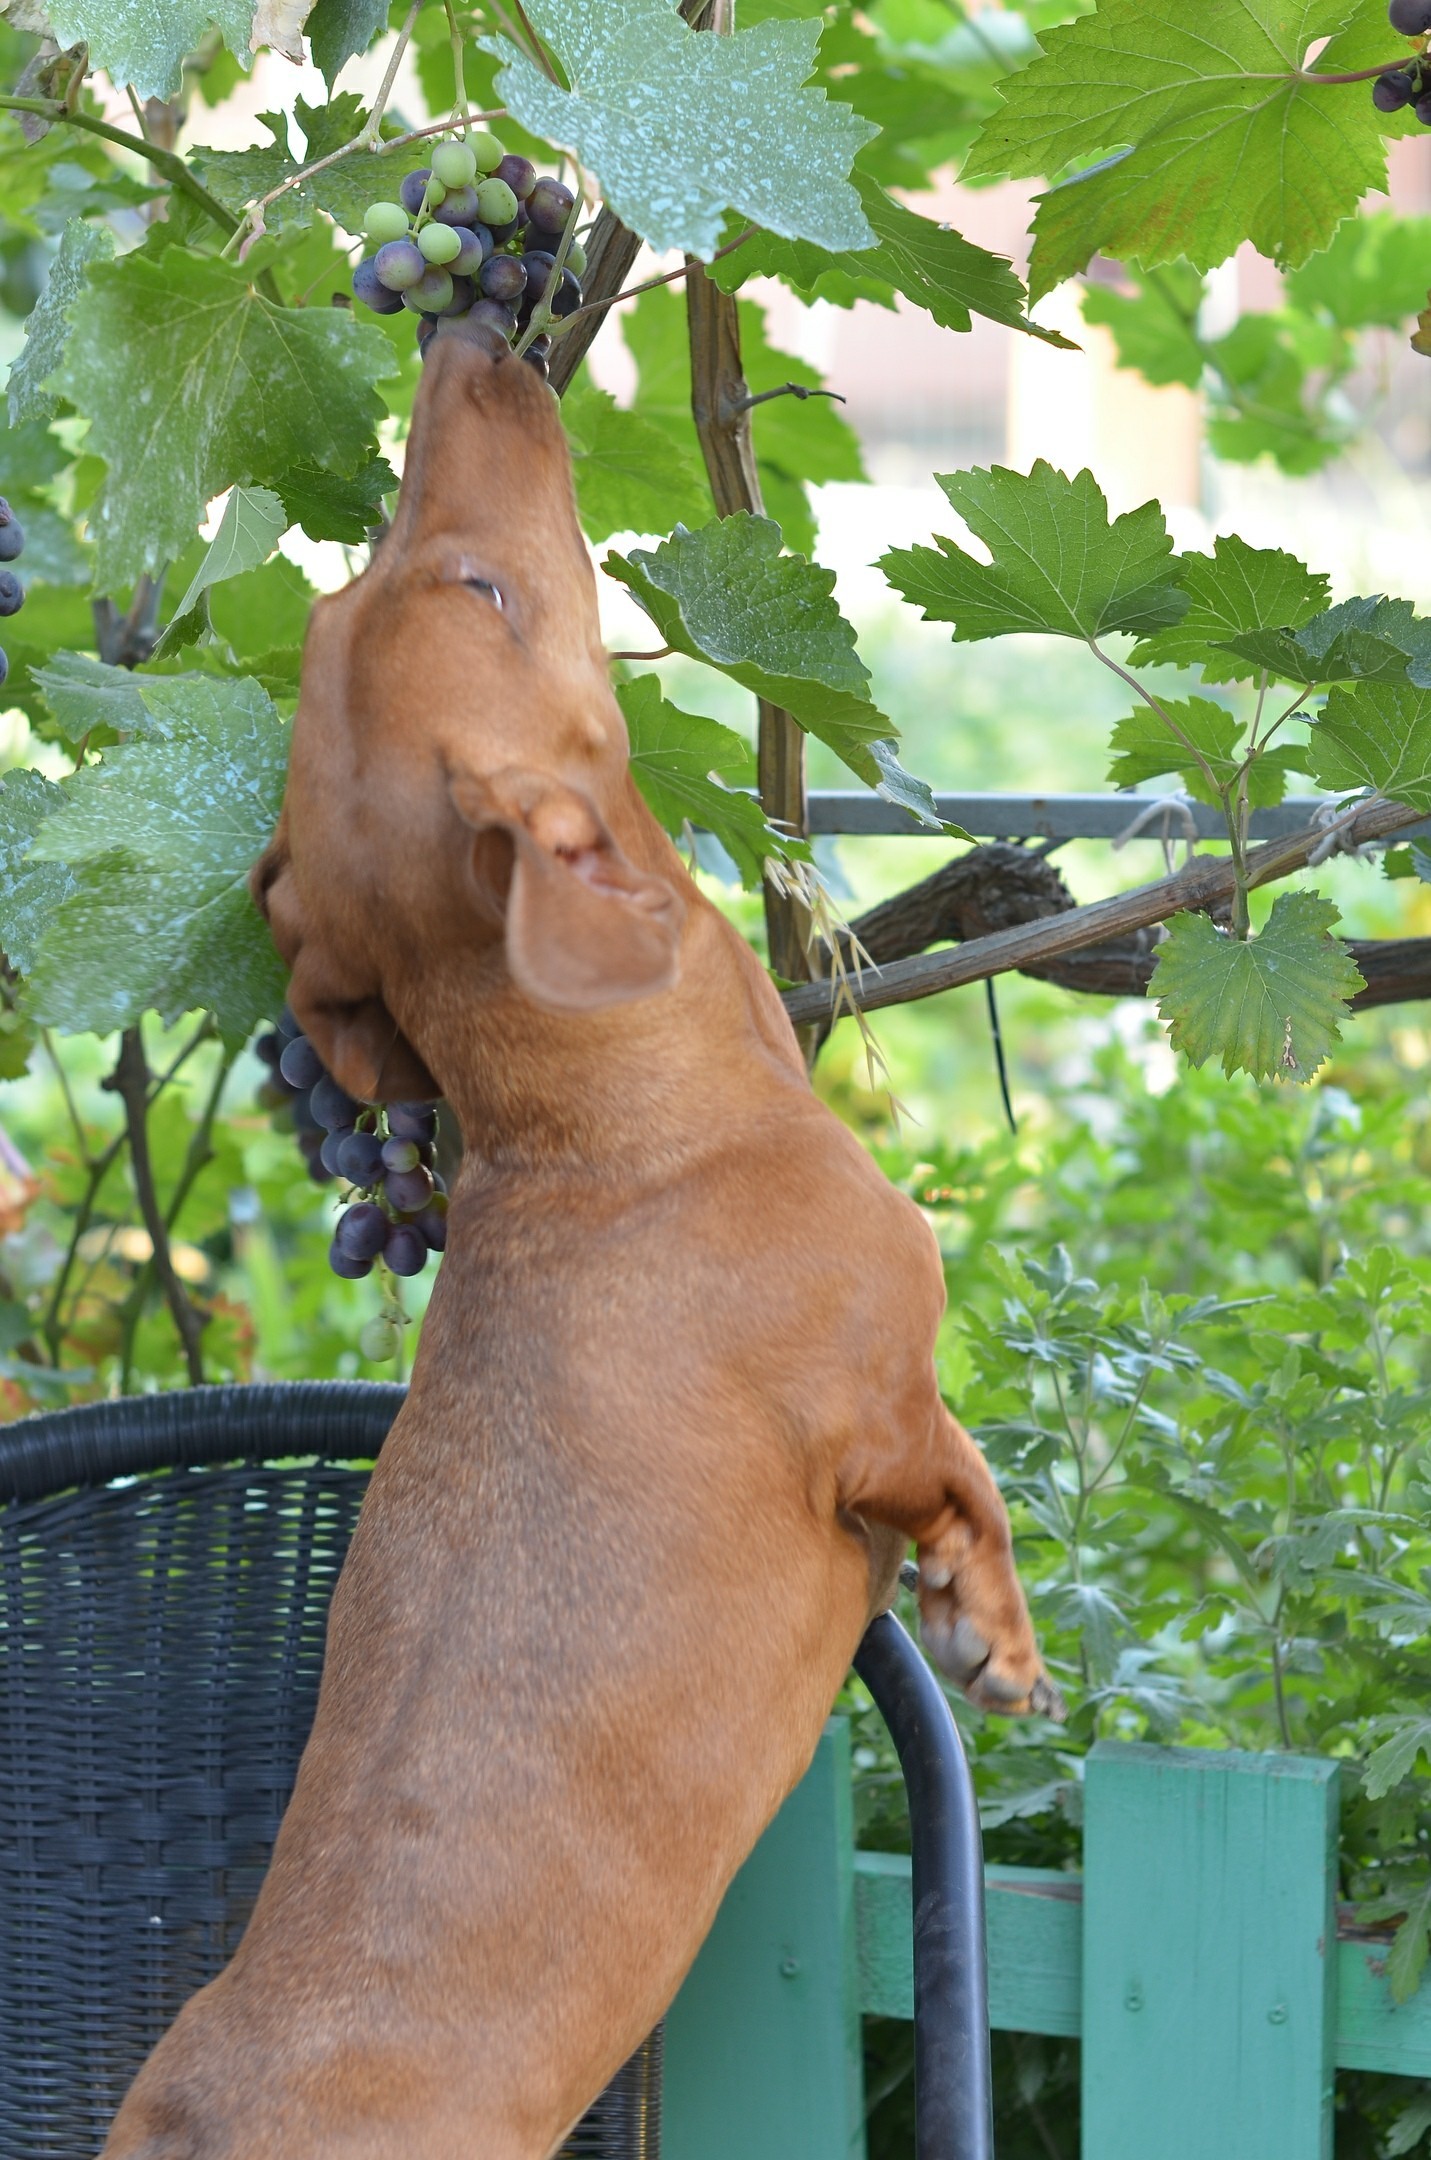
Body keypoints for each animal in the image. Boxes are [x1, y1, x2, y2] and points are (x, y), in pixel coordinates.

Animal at [101, 319, 1059, 2160]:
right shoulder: (875, 1413)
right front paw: (990, 1631)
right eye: (483, 590)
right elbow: (957, 1479)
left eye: (347, 607)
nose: (469, 342)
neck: (610, 1134)